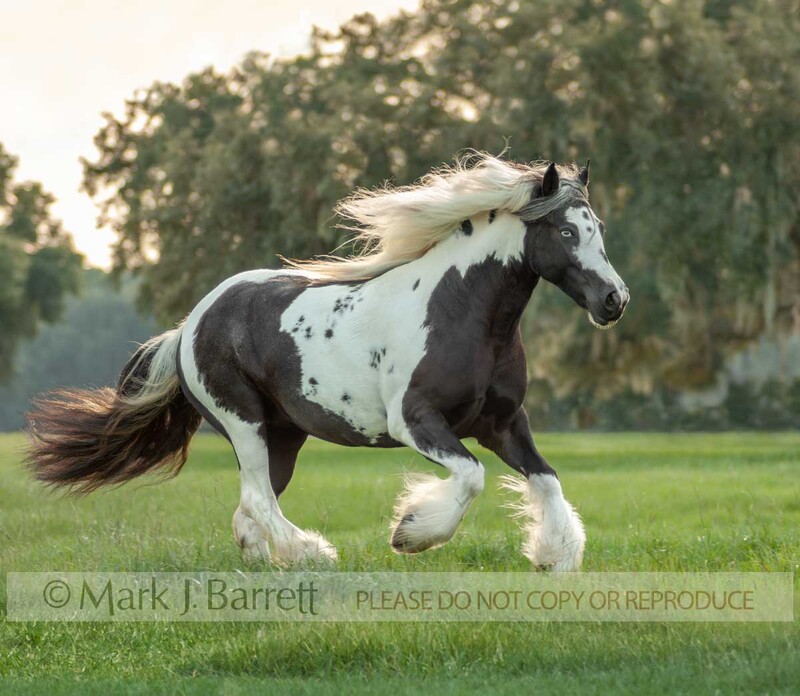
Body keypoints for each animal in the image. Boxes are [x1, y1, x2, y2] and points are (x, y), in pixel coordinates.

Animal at [26, 154, 628, 571]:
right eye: (566, 231)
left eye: (598, 229)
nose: (614, 300)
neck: (460, 311)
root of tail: (189, 325)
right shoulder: (415, 421)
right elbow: (471, 476)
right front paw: (410, 533)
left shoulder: (502, 423)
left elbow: (546, 480)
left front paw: (554, 557)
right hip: (244, 423)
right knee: (258, 499)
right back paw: (313, 555)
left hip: (284, 436)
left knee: (250, 508)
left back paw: (267, 564)